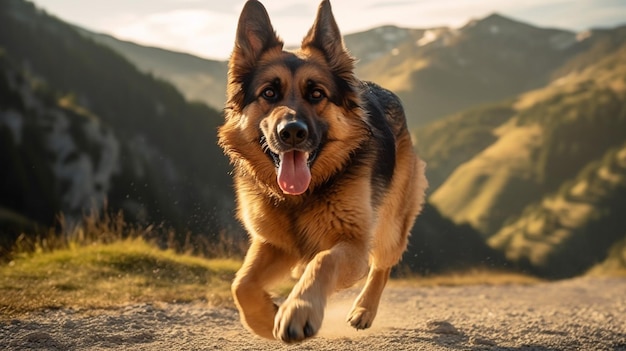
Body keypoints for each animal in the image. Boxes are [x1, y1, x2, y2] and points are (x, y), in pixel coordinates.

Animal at [217, 0, 426, 344]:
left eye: (316, 94)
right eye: (269, 93)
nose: (292, 132)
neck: (301, 197)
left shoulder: (353, 245)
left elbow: (324, 260)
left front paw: (297, 310)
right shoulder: (274, 243)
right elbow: (241, 284)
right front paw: (266, 319)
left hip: (391, 224)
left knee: (381, 266)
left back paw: (364, 310)